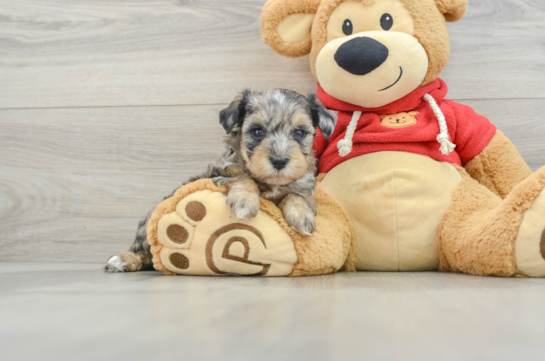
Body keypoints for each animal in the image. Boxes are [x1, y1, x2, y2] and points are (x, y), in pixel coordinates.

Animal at [105, 88, 336, 272]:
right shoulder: (216, 176)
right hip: (149, 222)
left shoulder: (303, 189)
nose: (279, 161)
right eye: (257, 131)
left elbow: (295, 195)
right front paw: (245, 201)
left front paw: (301, 216)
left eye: (299, 133)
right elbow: (242, 177)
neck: (269, 182)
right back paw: (122, 260)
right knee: (144, 251)